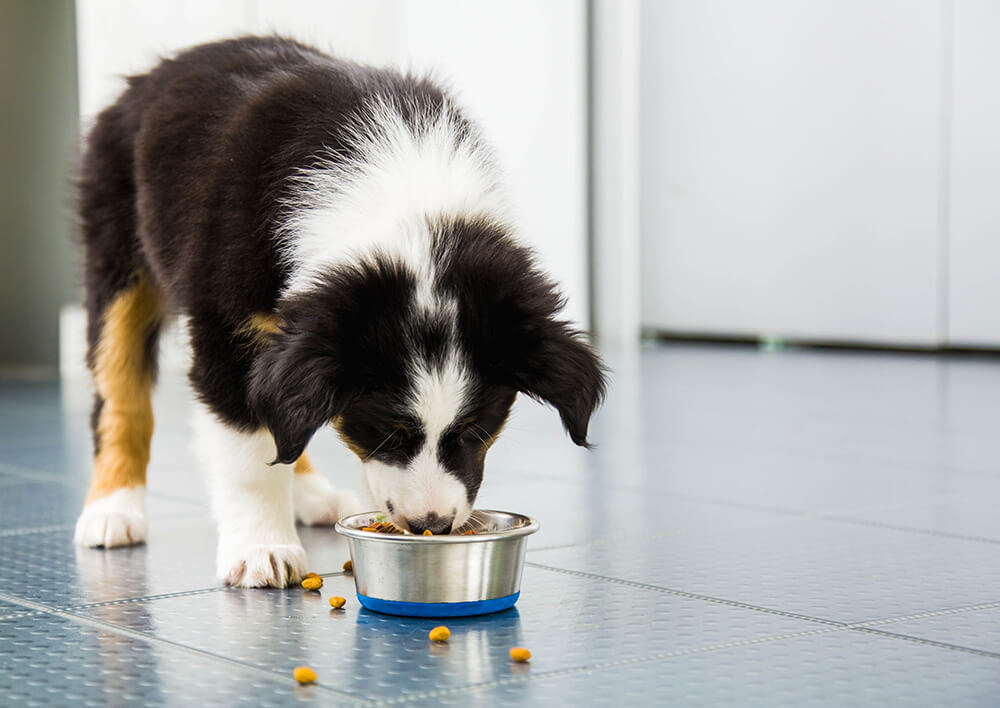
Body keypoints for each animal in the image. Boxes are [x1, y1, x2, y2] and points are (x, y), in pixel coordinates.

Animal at [74, 37, 604, 588]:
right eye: (389, 430)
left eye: (476, 428)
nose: (433, 525)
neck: (404, 204)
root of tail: (159, 70)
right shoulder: (227, 330)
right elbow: (248, 454)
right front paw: (261, 549)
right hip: (117, 253)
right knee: (120, 394)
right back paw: (112, 510)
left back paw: (315, 496)